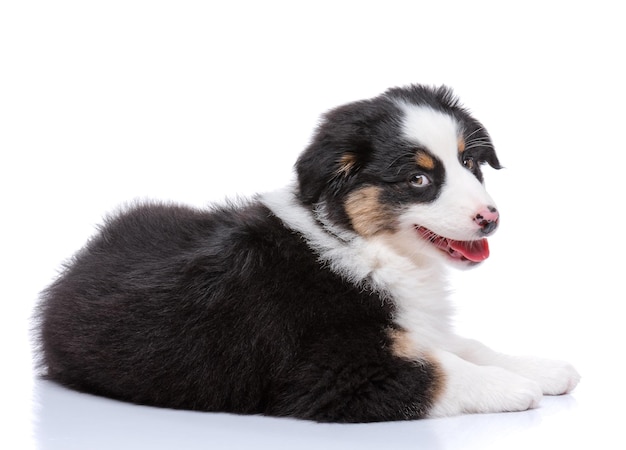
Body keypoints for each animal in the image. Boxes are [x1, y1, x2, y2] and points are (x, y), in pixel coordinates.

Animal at [36, 84, 576, 422]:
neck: (361, 244)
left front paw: (541, 369)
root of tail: (78, 260)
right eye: (418, 179)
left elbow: (465, 345)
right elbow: (437, 368)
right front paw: (513, 387)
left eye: (470, 163)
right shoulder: (332, 372)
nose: (491, 218)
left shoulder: (413, 324)